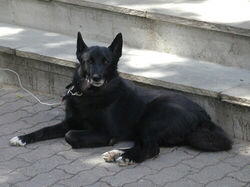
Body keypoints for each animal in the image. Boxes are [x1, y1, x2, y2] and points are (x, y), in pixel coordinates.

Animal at [9, 32, 232, 165]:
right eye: (89, 61)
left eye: (106, 61)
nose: (97, 77)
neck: (89, 95)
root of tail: (203, 116)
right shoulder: (69, 122)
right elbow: (45, 130)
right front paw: (23, 137)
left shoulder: (105, 133)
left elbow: (70, 135)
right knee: (144, 144)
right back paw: (117, 153)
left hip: (153, 116)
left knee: (151, 148)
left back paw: (126, 157)